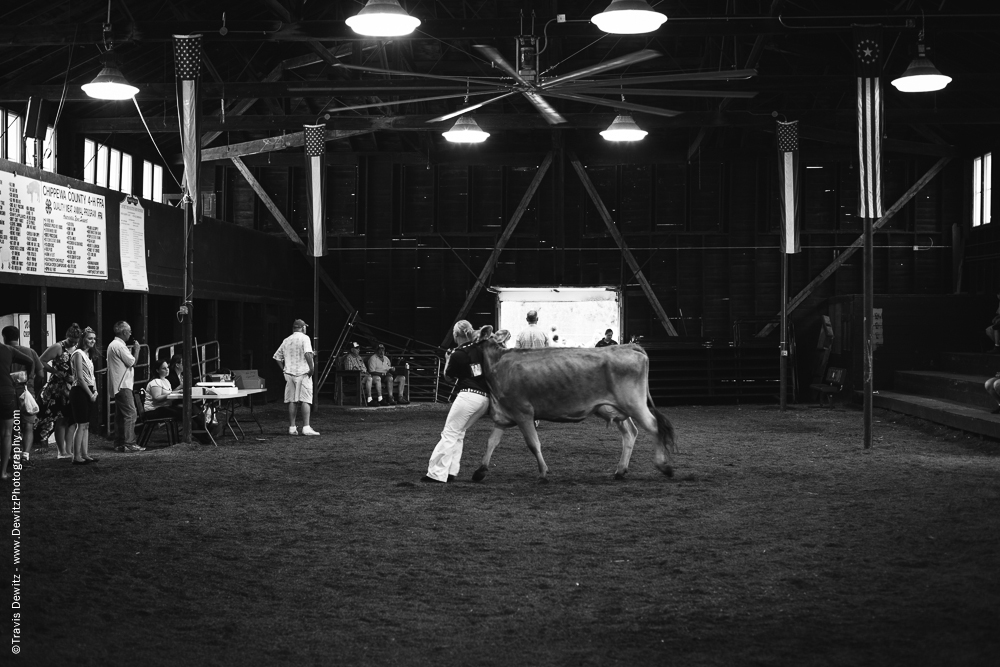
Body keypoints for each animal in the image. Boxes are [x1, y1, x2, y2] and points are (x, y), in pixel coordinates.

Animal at [470, 342, 676, 482]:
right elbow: (491, 441)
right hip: (617, 409)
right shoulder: (504, 415)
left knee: (654, 426)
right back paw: (620, 470)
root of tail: (629, 346)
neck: (499, 365)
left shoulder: (523, 413)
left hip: (635, 404)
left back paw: (663, 466)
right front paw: (480, 470)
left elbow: (533, 443)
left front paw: (543, 472)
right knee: (630, 433)